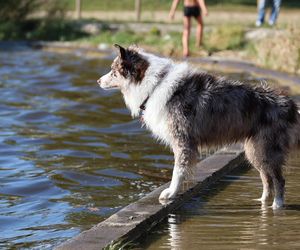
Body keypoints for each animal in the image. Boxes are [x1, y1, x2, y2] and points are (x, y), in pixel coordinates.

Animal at [97, 44, 298, 209]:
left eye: (113, 72)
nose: (98, 81)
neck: (153, 85)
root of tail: (289, 104)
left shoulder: (182, 139)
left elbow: (178, 170)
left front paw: (170, 193)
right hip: (254, 151)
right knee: (266, 179)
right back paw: (262, 201)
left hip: (265, 149)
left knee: (279, 179)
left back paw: (277, 206)